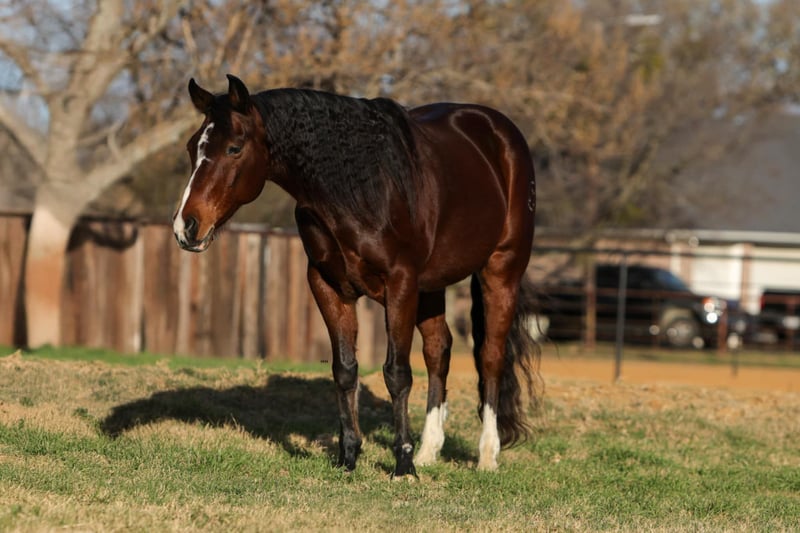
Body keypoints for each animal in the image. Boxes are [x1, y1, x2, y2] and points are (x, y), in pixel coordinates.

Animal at [173, 74, 541, 476]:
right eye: (192, 147)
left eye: (234, 148)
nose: (186, 227)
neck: (361, 188)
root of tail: (499, 132)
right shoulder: (328, 286)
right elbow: (345, 369)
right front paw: (348, 456)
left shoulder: (400, 284)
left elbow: (397, 373)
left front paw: (402, 464)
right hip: (432, 285)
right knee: (438, 350)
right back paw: (429, 451)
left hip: (501, 270)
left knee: (490, 355)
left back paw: (486, 455)